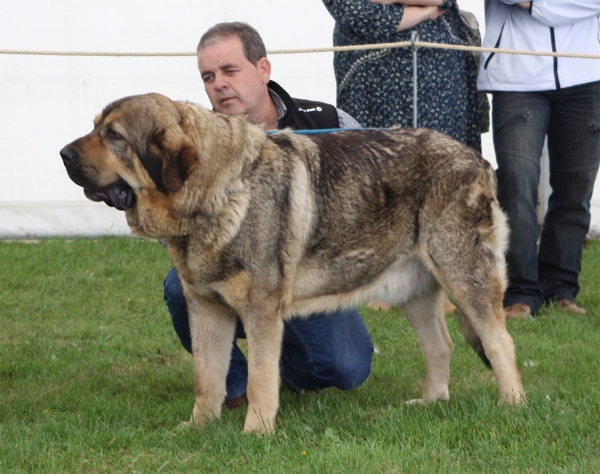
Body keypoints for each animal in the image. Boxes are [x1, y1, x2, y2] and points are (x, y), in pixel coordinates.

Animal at [58, 91, 524, 434]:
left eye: (114, 135)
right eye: (96, 127)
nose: (62, 153)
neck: (221, 190)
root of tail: (477, 157)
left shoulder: (261, 311)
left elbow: (262, 377)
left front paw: (256, 432)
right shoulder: (206, 308)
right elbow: (206, 376)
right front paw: (198, 427)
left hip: (464, 274)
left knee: (499, 342)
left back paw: (512, 406)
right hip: (411, 289)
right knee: (439, 344)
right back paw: (429, 403)